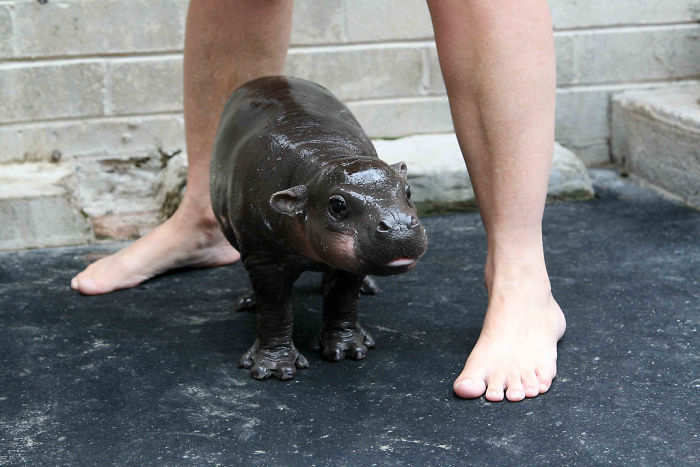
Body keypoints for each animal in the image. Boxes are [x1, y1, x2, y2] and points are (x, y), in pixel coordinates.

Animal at [210, 76, 427, 380]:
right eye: (337, 205)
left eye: (407, 190)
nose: (399, 226)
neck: (322, 159)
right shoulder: (264, 257)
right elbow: (275, 307)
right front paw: (274, 368)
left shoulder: (349, 262)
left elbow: (342, 298)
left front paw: (346, 349)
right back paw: (249, 301)